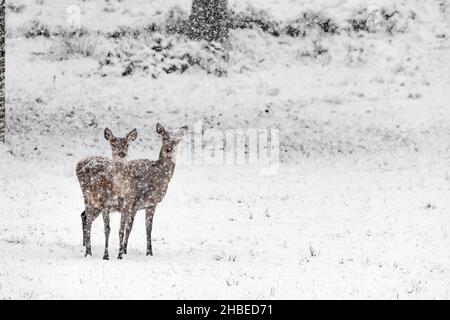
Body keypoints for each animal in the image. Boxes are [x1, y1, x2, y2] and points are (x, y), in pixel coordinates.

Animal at [76, 126, 137, 258]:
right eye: (113, 144)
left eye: (127, 144)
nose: (122, 153)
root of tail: (79, 162)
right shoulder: (105, 205)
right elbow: (107, 229)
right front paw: (105, 256)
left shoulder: (125, 207)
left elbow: (121, 231)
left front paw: (120, 256)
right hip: (87, 196)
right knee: (88, 222)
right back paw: (88, 252)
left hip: (96, 204)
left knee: (84, 216)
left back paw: (85, 246)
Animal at [115, 122, 189, 260]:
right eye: (164, 138)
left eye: (177, 141)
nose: (169, 149)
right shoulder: (135, 202)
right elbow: (128, 227)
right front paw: (123, 250)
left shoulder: (151, 204)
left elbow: (148, 228)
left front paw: (149, 252)